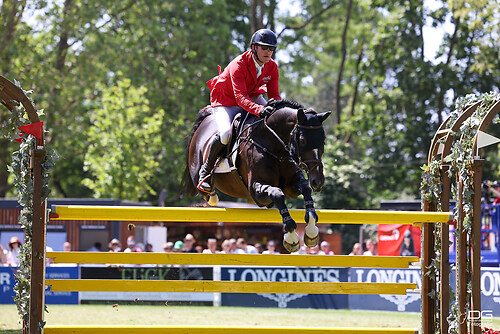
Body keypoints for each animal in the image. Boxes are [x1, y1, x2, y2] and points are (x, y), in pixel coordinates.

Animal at [181, 100, 332, 252]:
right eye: (302, 140)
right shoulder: (256, 190)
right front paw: (291, 237)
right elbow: (277, 194)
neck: (274, 146)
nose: (318, 181)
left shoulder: (291, 186)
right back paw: (207, 184)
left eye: (323, 139)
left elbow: (305, 189)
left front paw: (311, 231)